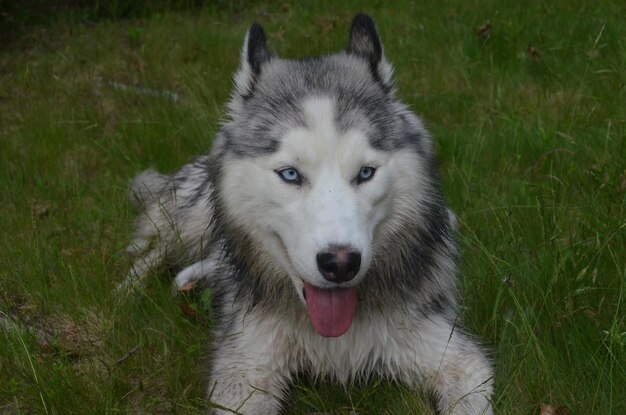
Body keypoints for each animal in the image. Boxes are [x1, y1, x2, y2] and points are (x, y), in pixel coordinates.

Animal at [123, 13, 492, 415]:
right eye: (290, 174)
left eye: (365, 173)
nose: (340, 264)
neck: (332, 339)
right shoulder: (243, 374)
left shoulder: (458, 359)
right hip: (190, 224)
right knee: (152, 248)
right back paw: (126, 293)